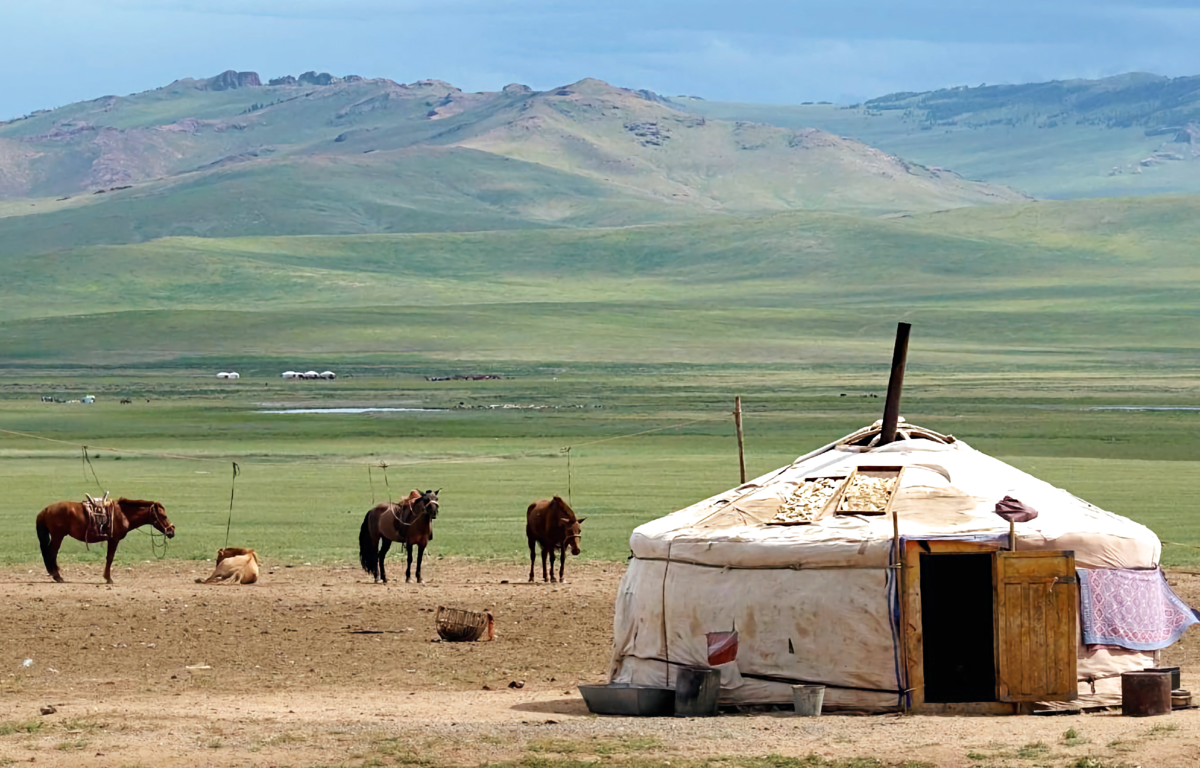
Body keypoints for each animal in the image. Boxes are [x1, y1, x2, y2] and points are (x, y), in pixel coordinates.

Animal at [35, 499, 175, 580]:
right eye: (163, 516)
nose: (172, 530)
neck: (123, 514)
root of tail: (45, 510)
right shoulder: (114, 540)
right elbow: (110, 557)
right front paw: (108, 578)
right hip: (58, 536)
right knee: (52, 553)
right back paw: (57, 576)